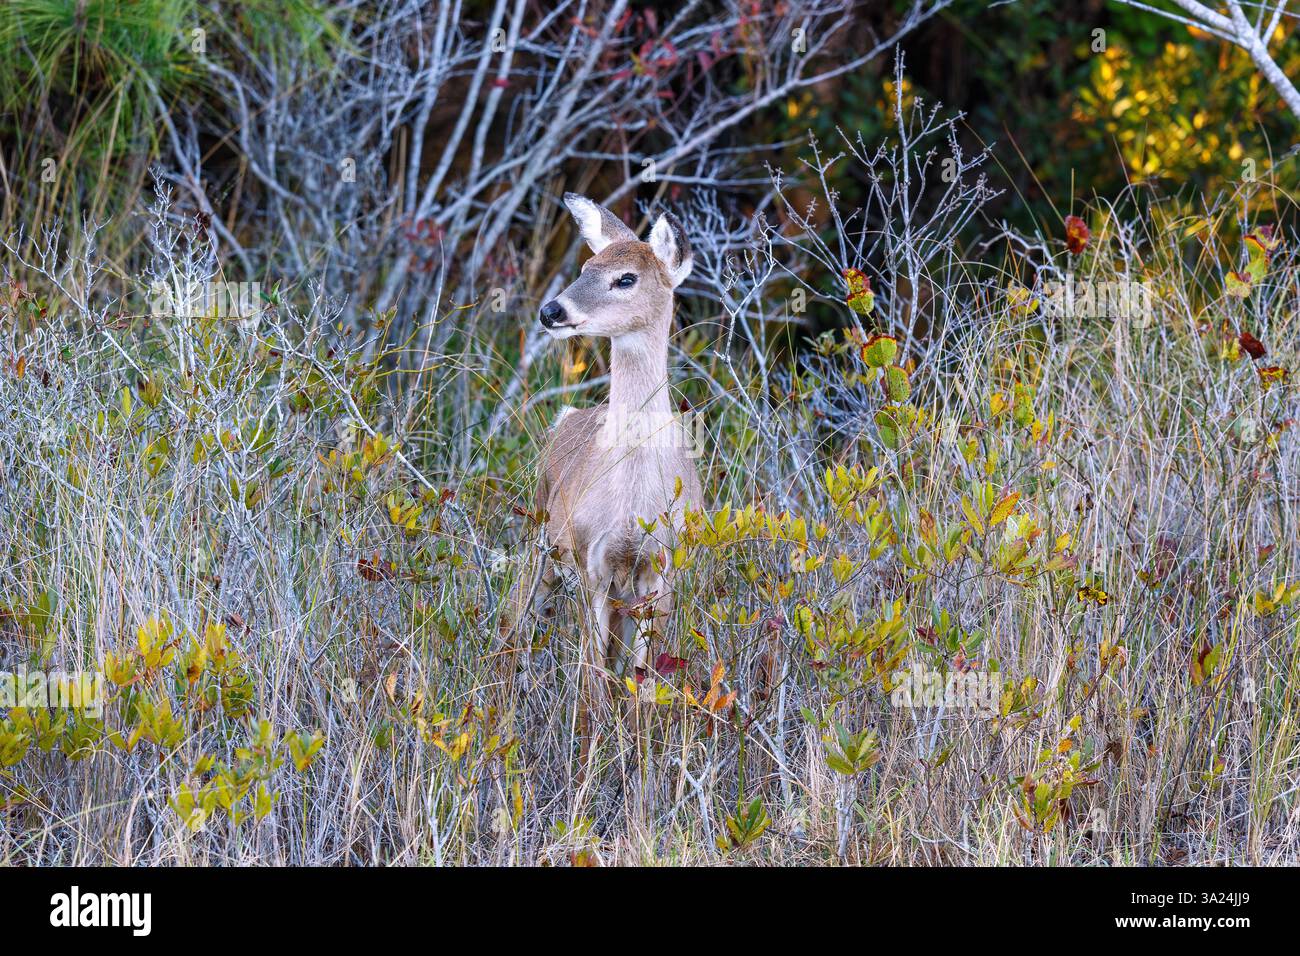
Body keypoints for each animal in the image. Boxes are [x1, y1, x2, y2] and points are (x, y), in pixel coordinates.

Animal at [500, 192, 704, 772]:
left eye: (626, 278)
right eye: (585, 268)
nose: (552, 311)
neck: (635, 497)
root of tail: (568, 416)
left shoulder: (662, 569)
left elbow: (644, 684)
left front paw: (640, 761)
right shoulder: (592, 564)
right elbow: (592, 681)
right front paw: (590, 758)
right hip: (544, 544)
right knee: (514, 619)